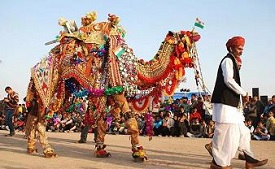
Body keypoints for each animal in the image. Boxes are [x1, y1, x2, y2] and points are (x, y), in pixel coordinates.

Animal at [25, 11, 203, 160]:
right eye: (184, 36)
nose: (197, 34)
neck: (135, 67)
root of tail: (35, 68)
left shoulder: (107, 93)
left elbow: (102, 123)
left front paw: (101, 150)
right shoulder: (117, 91)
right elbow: (131, 121)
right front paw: (139, 153)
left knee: (33, 116)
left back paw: (31, 148)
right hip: (50, 86)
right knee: (40, 119)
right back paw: (48, 151)